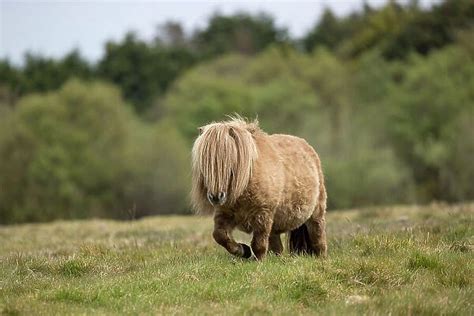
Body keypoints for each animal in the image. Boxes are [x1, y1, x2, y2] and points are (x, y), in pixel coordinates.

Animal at [191, 116, 328, 260]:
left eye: (229, 163)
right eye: (203, 164)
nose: (216, 197)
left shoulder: (263, 215)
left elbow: (258, 244)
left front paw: (258, 261)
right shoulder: (224, 215)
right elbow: (220, 236)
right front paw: (243, 250)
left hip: (316, 214)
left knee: (318, 238)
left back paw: (321, 258)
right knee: (277, 247)